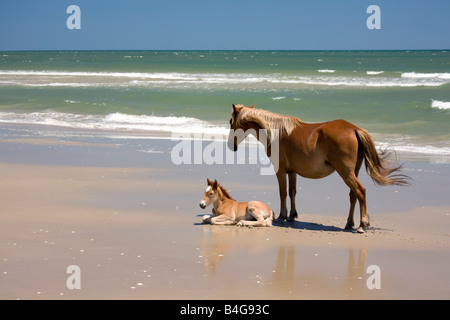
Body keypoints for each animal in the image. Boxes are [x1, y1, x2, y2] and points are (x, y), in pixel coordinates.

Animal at [227, 104, 410, 232]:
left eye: (230, 122)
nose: (231, 146)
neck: (277, 132)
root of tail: (354, 129)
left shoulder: (280, 170)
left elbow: (283, 192)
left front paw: (282, 216)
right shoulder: (292, 172)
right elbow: (292, 192)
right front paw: (292, 215)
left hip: (346, 173)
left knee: (360, 192)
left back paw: (362, 225)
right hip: (353, 172)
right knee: (353, 195)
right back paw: (349, 223)